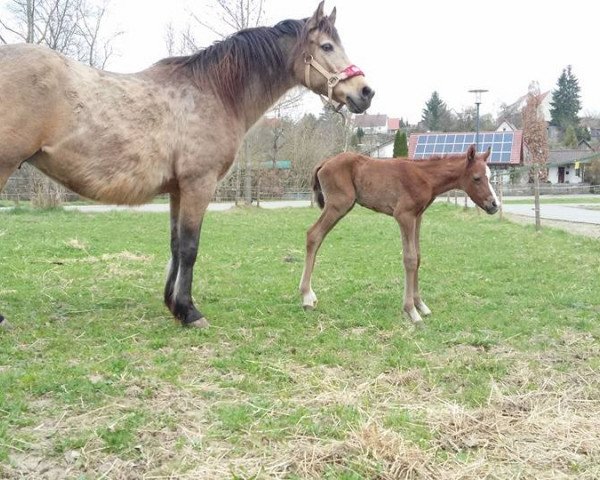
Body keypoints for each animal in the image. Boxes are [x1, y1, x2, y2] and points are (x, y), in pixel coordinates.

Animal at [0, 1, 372, 328]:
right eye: (326, 46)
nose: (365, 92)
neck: (216, 92)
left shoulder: (178, 190)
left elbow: (176, 245)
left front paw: (173, 305)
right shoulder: (198, 184)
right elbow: (191, 247)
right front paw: (190, 312)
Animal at [300, 142, 502, 322]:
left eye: (490, 176)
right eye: (477, 178)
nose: (494, 205)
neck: (425, 177)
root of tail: (324, 163)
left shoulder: (417, 216)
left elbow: (418, 257)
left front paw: (421, 305)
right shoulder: (404, 215)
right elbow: (410, 259)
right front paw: (412, 311)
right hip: (338, 205)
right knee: (314, 235)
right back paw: (307, 297)